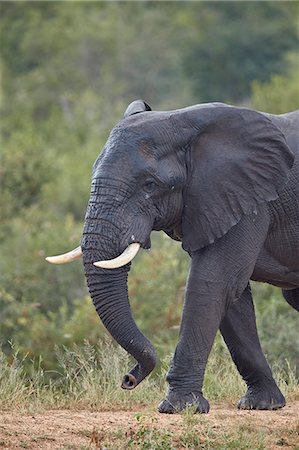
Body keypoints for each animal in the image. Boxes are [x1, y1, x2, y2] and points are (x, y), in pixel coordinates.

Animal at [47, 100, 299, 414]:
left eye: (149, 185)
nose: (128, 379)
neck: (186, 122)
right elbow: (232, 294)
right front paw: (262, 404)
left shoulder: (252, 200)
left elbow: (212, 282)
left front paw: (178, 408)